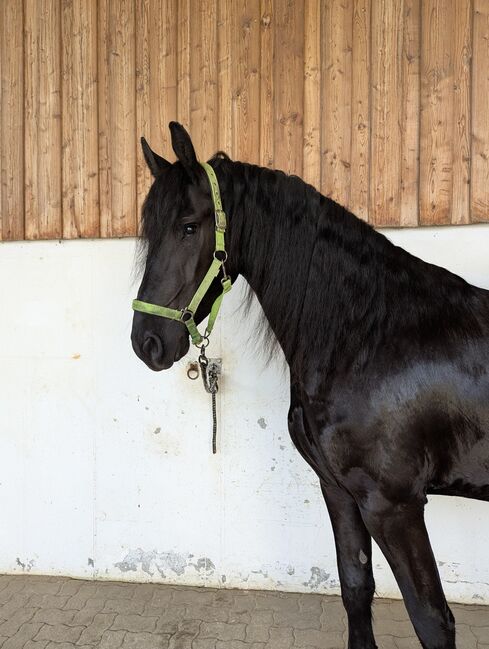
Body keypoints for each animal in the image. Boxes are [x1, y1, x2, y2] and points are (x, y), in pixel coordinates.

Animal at [131, 121, 489, 649]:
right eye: (150, 231)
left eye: (189, 226)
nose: (147, 342)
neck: (369, 334)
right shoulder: (339, 491)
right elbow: (356, 588)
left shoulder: (394, 505)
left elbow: (430, 619)